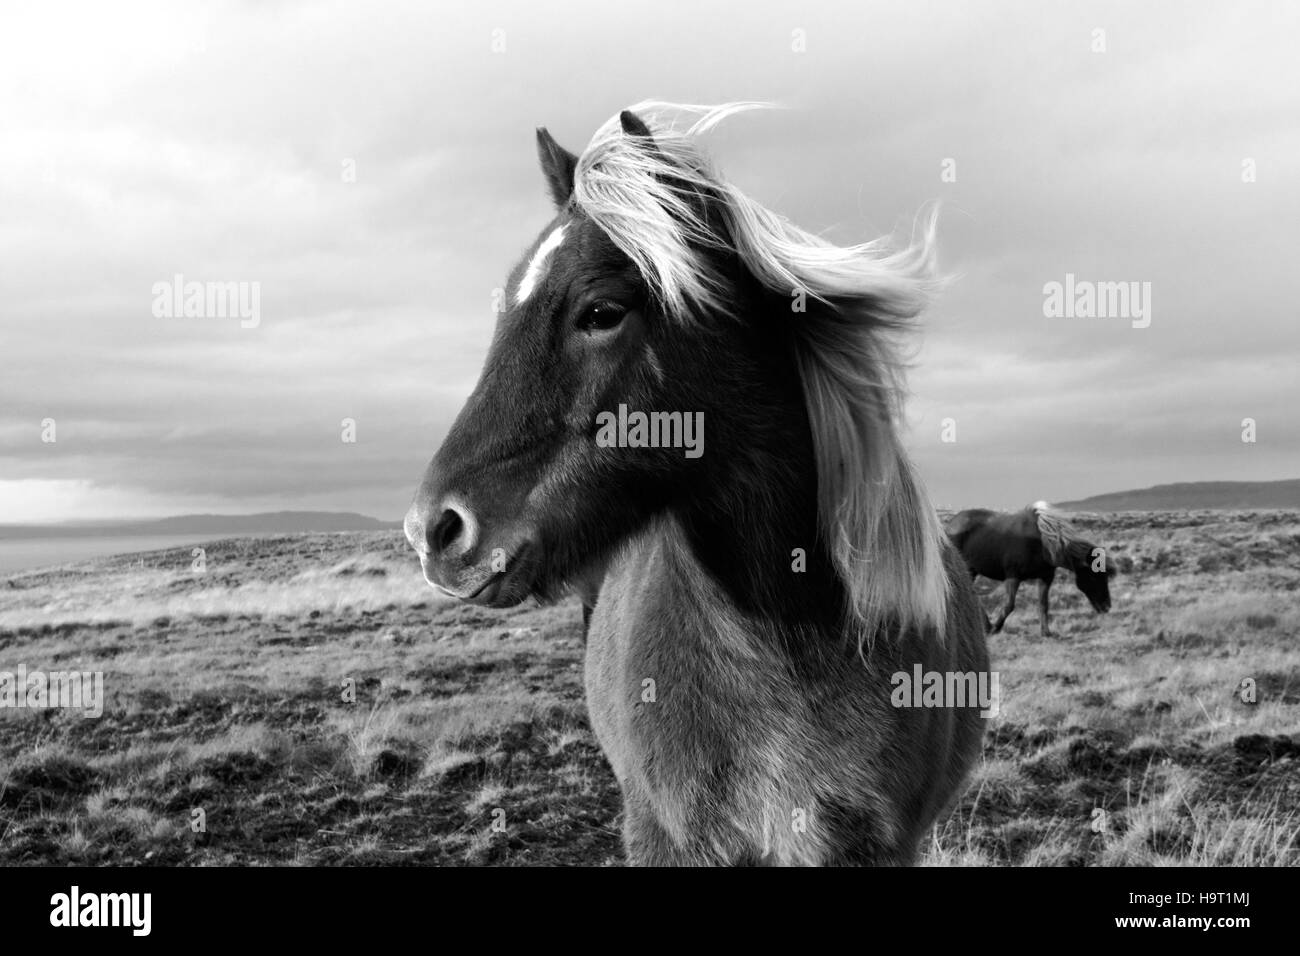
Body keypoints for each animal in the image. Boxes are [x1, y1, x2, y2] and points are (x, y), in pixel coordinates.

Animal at [944, 502, 1115, 639]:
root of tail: (950, 525)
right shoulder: (1013, 577)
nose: (1106, 606)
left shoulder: (1046, 577)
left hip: (971, 571)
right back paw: (986, 626)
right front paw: (995, 628)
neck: (1042, 544)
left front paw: (1046, 633)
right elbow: (1009, 605)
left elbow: (1043, 605)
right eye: (1094, 576)